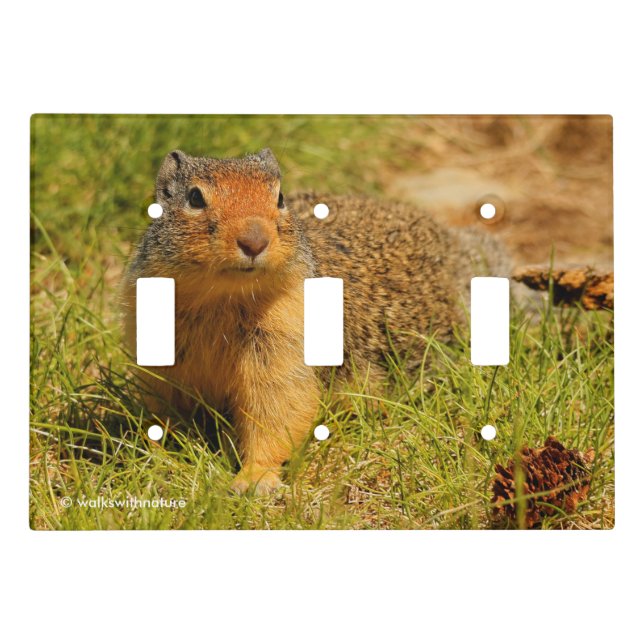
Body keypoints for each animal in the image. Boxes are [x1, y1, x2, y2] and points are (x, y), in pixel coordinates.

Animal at [123, 148, 510, 494]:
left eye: (279, 197)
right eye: (195, 197)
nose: (254, 241)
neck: (221, 297)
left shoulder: (285, 342)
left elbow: (278, 409)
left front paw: (255, 479)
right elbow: (164, 410)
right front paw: (155, 456)